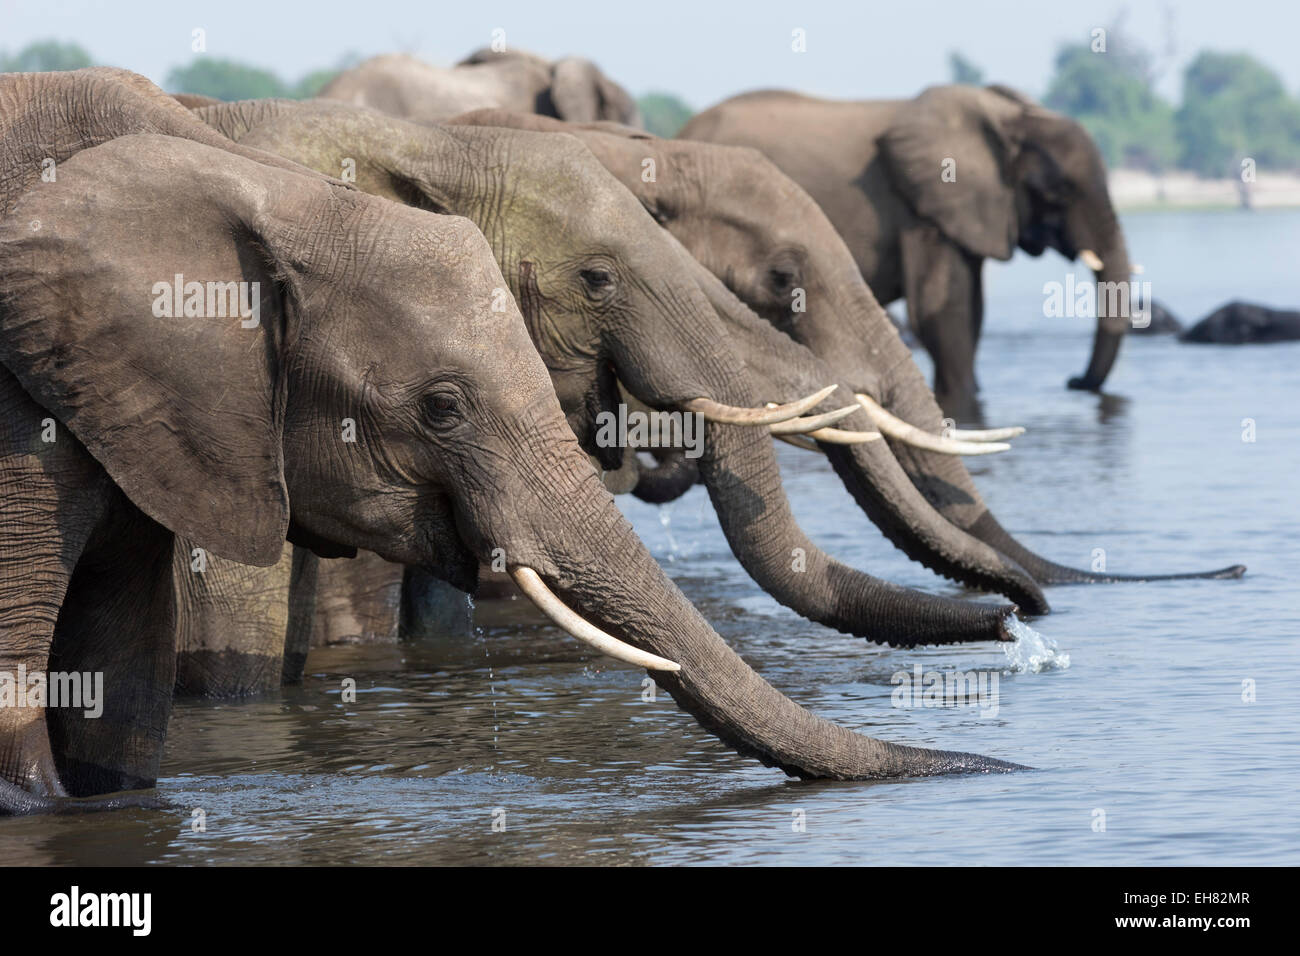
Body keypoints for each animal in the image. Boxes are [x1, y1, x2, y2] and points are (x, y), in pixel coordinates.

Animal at [681, 79, 1149, 416]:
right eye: (1056, 192)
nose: (1073, 382)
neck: (1009, 117)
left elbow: (970, 311)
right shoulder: (925, 210)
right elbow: (944, 314)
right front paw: (959, 404)